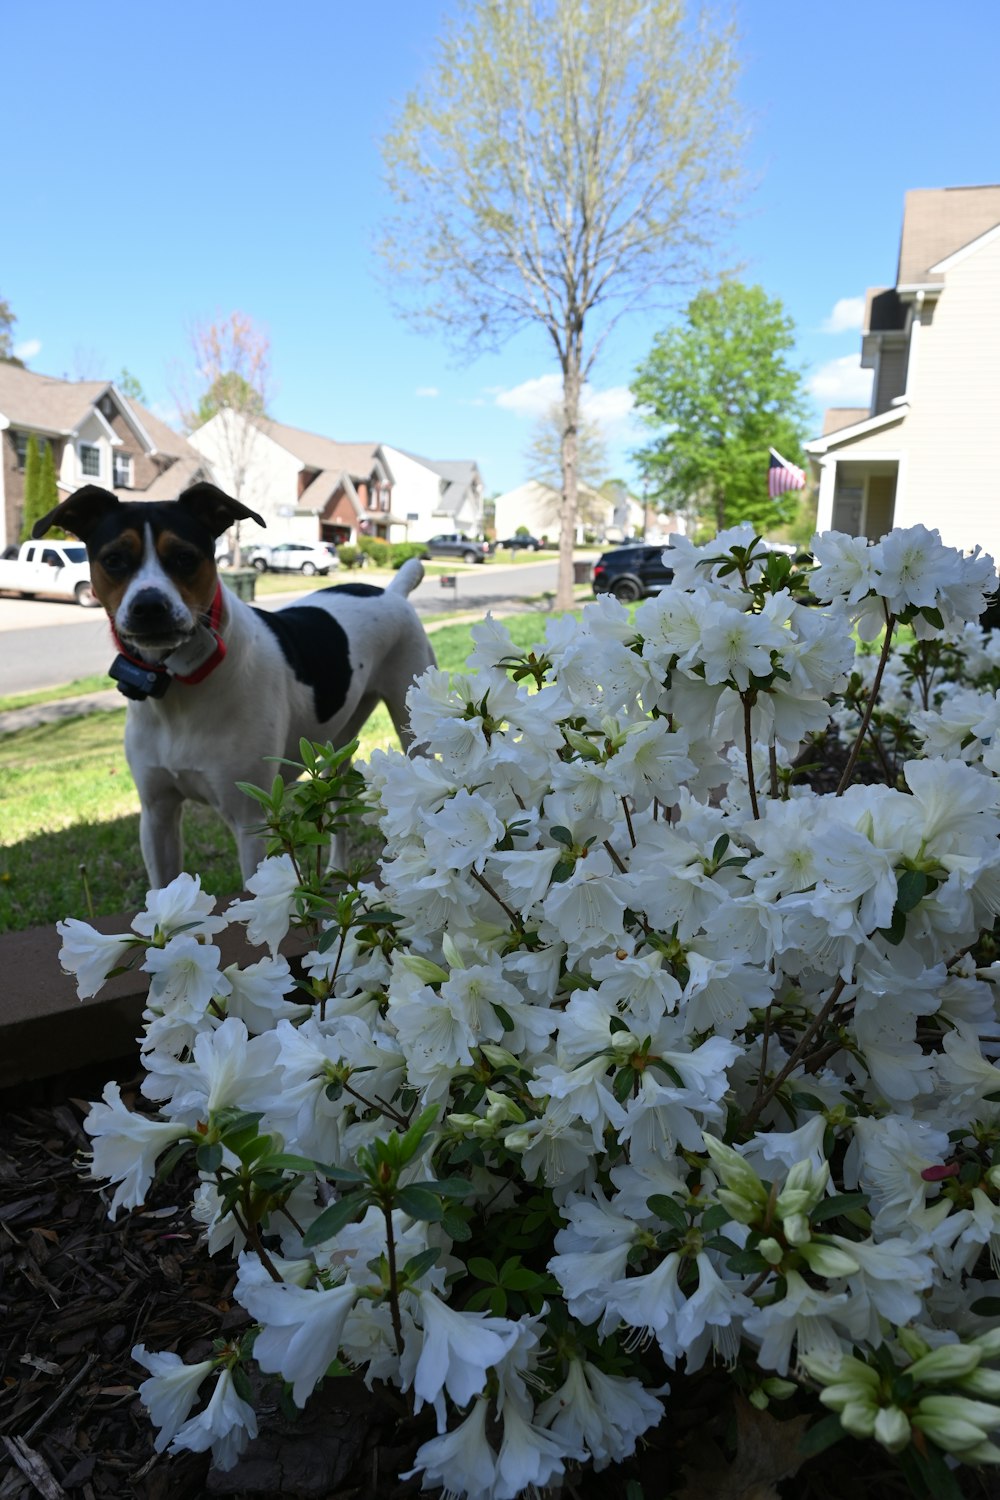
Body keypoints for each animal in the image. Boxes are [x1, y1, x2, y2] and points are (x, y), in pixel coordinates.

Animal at [36, 480, 434, 882]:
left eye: (185, 557)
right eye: (114, 559)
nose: (149, 606)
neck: (180, 686)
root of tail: (392, 591)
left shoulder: (251, 820)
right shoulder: (156, 813)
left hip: (410, 721)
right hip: (336, 743)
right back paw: (337, 869)